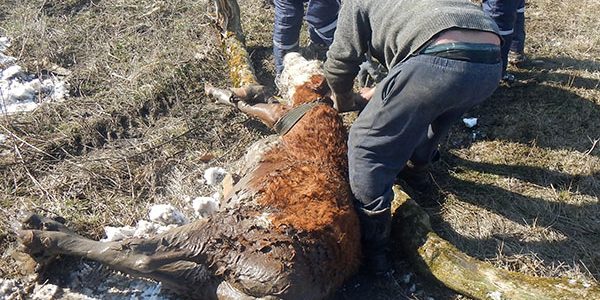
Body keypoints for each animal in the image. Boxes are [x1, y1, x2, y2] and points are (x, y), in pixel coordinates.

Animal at [17, 52, 360, 298]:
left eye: (306, 66)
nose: (289, 54)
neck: (320, 115)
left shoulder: (283, 117)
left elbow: (258, 103)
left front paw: (227, 91)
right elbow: (255, 98)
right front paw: (225, 91)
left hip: (224, 233)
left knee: (139, 253)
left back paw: (41, 236)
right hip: (211, 277)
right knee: (163, 267)